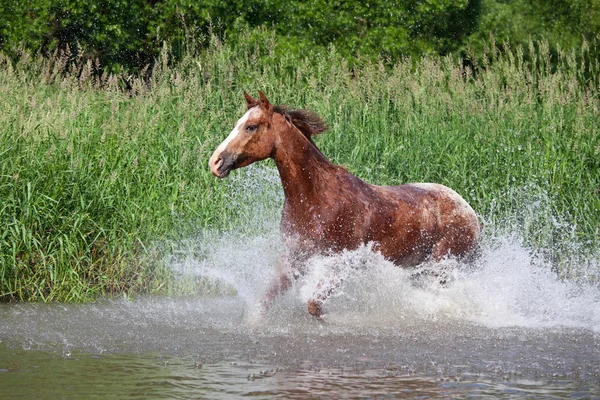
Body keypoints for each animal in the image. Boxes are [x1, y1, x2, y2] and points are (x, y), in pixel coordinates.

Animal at [209, 90, 480, 318]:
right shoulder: (295, 259)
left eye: (250, 126)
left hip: (443, 268)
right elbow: (265, 302)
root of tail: (470, 212)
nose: (215, 162)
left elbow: (314, 305)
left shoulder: (343, 263)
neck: (315, 199)